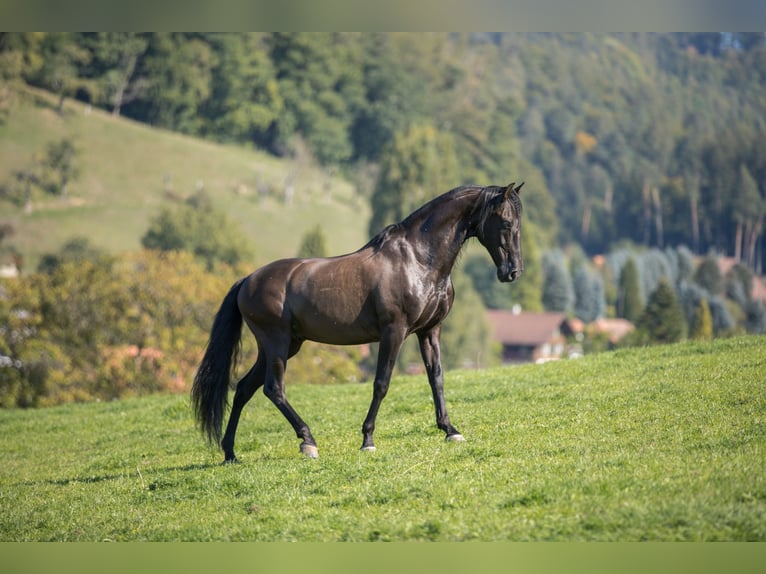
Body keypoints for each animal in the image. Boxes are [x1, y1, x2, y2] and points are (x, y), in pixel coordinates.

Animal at [195, 182, 524, 462]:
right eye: (506, 223)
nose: (512, 272)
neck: (417, 260)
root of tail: (248, 280)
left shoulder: (430, 331)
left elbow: (437, 378)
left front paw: (450, 430)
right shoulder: (394, 331)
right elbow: (381, 383)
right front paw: (368, 440)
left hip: (284, 345)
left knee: (243, 389)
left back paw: (230, 453)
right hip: (277, 343)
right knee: (273, 388)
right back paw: (308, 442)